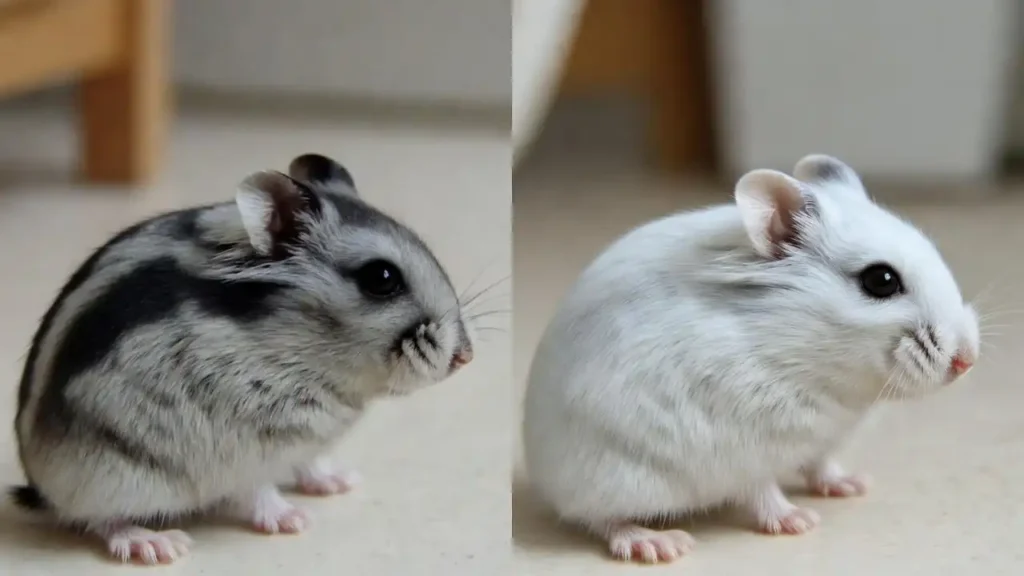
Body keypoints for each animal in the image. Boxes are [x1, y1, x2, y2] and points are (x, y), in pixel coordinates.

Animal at [11, 154, 475, 564]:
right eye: (381, 278)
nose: (465, 358)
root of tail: (40, 483)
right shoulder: (243, 451)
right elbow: (259, 491)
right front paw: (296, 520)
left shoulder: (304, 443)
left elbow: (311, 463)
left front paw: (342, 482)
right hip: (111, 475)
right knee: (96, 519)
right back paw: (159, 545)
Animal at [521, 155, 980, 564]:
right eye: (880, 280)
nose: (967, 362)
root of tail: (539, 473)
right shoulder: (744, 451)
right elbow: (764, 492)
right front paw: (802, 521)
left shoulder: (823, 439)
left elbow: (821, 465)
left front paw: (854, 485)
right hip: (615, 475)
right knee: (598, 519)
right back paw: (660, 545)